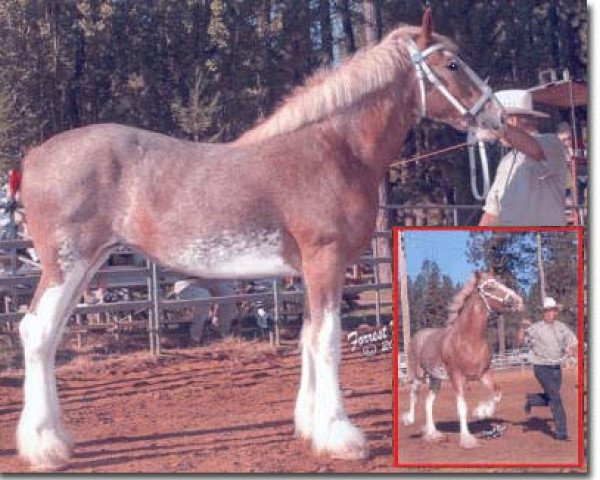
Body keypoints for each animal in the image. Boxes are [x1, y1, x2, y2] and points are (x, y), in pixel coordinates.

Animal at [16, 10, 504, 468]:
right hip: (67, 265)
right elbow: (328, 341)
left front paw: (310, 426)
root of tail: (34, 157)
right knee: (36, 332)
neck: (334, 150)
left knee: (50, 336)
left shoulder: (309, 271)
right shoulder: (325, 261)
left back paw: (57, 437)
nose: (498, 115)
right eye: (453, 64)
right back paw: (44, 446)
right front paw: (341, 437)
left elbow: (308, 337)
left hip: (86, 267)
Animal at [404, 272, 524, 448]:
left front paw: (482, 412)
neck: (469, 340)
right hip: (419, 375)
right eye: (489, 287)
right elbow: (462, 407)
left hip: (435, 379)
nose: (518, 301)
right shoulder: (457, 376)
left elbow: (497, 393)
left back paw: (434, 434)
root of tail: (418, 336)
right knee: (414, 394)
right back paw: (409, 420)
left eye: (500, 282)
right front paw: (467, 439)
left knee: (428, 402)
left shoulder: (484, 374)